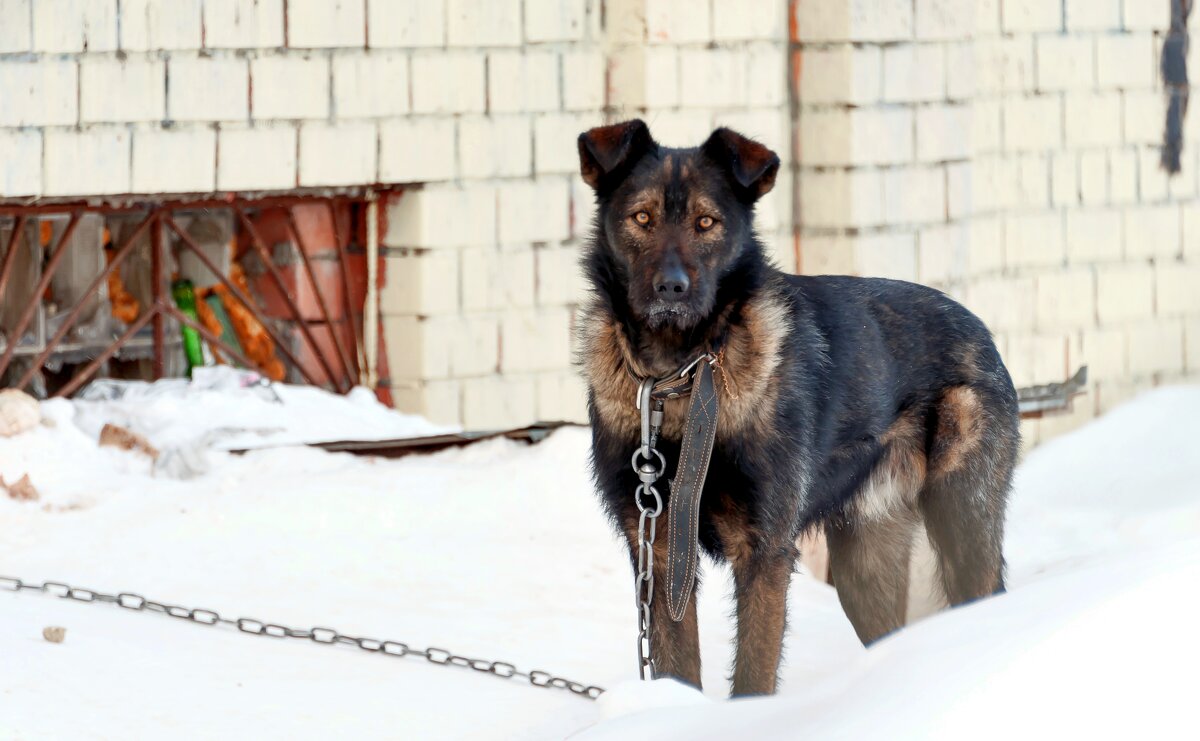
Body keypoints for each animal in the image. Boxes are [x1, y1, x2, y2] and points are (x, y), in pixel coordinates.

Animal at [580, 119, 1022, 690]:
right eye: (642, 218)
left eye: (707, 222)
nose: (671, 289)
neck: (678, 376)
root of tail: (981, 329)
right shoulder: (656, 549)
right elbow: (677, 668)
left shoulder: (763, 551)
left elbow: (753, 676)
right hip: (864, 565)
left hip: (961, 521)